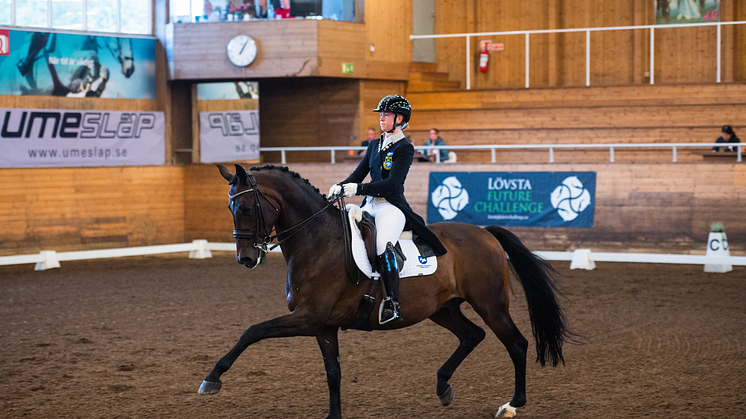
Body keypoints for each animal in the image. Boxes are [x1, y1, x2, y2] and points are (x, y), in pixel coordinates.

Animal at [198, 165, 568, 419]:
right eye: (231, 208)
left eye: (247, 208)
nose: (246, 259)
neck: (317, 241)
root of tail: (486, 233)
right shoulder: (323, 326)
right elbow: (333, 373)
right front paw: (334, 415)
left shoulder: (308, 318)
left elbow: (252, 331)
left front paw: (212, 379)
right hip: (443, 309)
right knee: (472, 336)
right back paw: (443, 387)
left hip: (490, 304)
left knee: (516, 344)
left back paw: (512, 404)